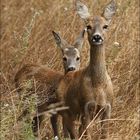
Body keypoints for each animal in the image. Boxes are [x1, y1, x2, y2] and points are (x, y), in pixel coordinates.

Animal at [56, 0, 116, 139]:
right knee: (68, 132)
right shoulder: (86, 107)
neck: (99, 86)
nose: (97, 37)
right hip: (66, 111)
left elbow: (104, 135)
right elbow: (87, 134)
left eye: (105, 26)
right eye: (88, 26)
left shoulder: (108, 108)